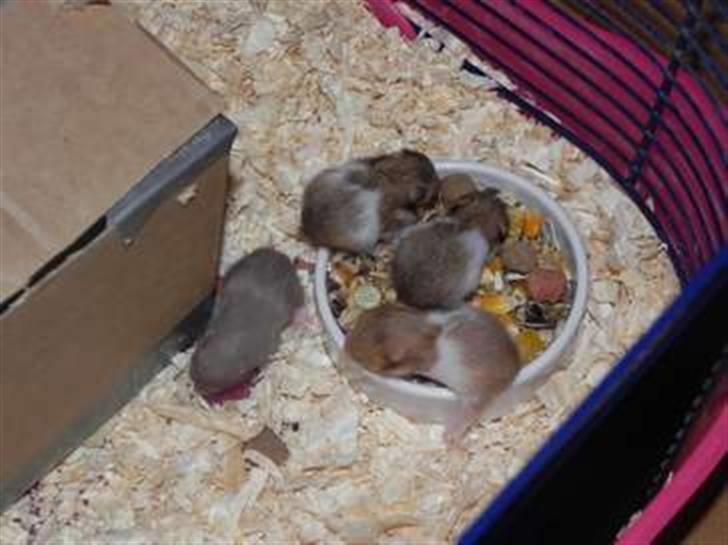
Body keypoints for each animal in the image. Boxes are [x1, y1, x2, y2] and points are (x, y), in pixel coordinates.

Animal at [190, 247, 304, 404]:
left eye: (218, 386)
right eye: (192, 365)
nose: (197, 390)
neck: (233, 334)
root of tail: (283, 257)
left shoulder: (268, 346)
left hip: (295, 290)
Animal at [344, 303, 520, 446]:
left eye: (386, 362)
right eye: (366, 315)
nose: (347, 346)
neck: (427, 339)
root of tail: (514, 369)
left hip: (474, 397)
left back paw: (451, 438)